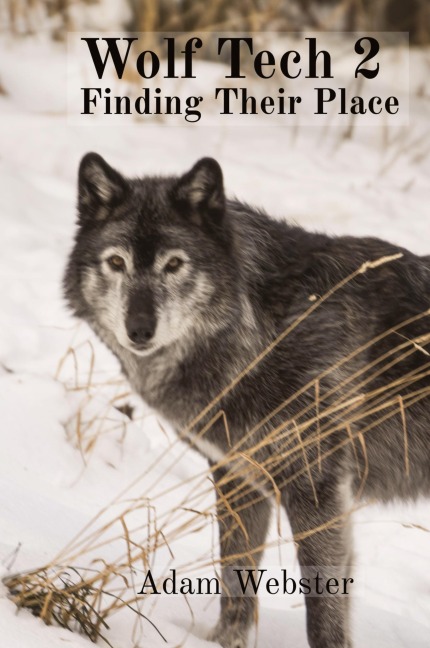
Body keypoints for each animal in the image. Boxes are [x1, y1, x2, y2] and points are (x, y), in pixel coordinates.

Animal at [64, 153, 430, 648]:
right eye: (116, 262)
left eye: (174, 264)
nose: (139, 330)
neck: (261, 326)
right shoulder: (237, 477)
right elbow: (235, 581)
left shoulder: (315, 489)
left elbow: (322, 612)